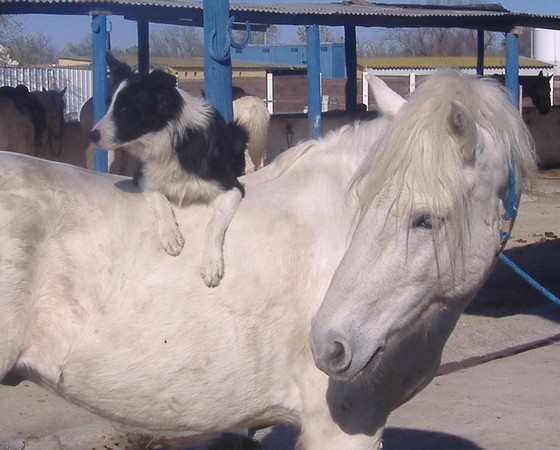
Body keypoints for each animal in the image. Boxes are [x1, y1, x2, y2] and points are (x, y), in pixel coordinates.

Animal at [89, 54, 247, 286]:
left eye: (125, 109)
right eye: (109, 104)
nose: (91, 136)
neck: (167, 139)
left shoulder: (232, 187)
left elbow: (213, 224)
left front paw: (211, 264)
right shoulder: (144, 179)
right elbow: (160, 201)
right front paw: (171, 235)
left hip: (237, 133)